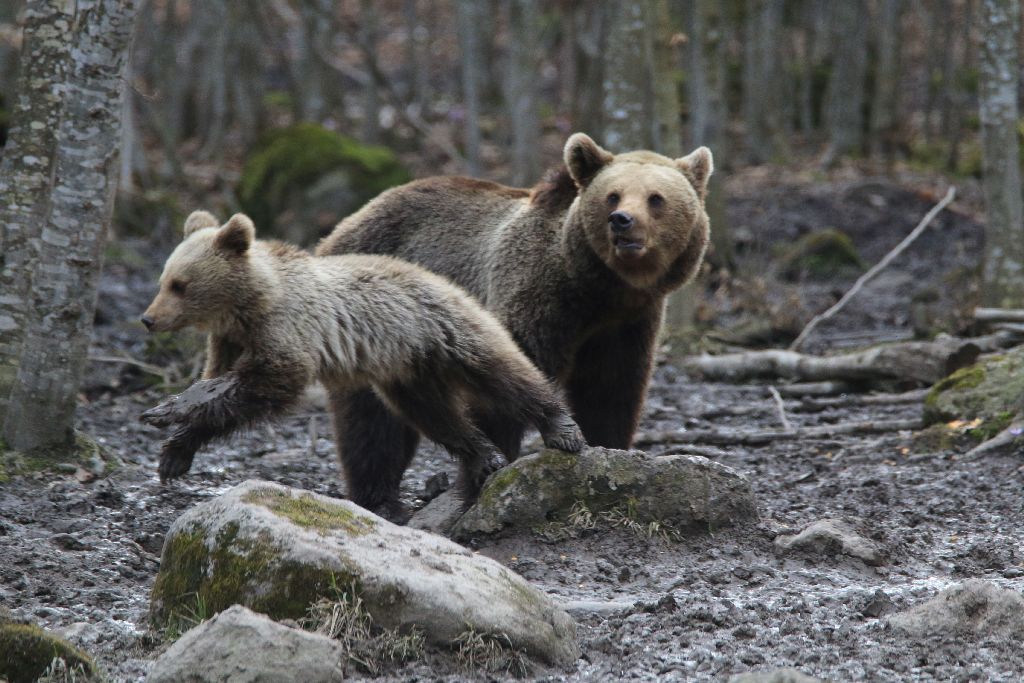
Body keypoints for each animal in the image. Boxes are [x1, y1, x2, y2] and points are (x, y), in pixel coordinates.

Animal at [319, 132, 712, 518]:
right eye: (612, 194)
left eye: (655, 198)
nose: (621, 220)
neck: (599, 289)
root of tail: (342, 225)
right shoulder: (538, 294)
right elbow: (509, 372)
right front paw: (483, 481)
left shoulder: (626, 324)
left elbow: (611, 389)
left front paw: (609, 450)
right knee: (370, 418)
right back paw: (381, 499)